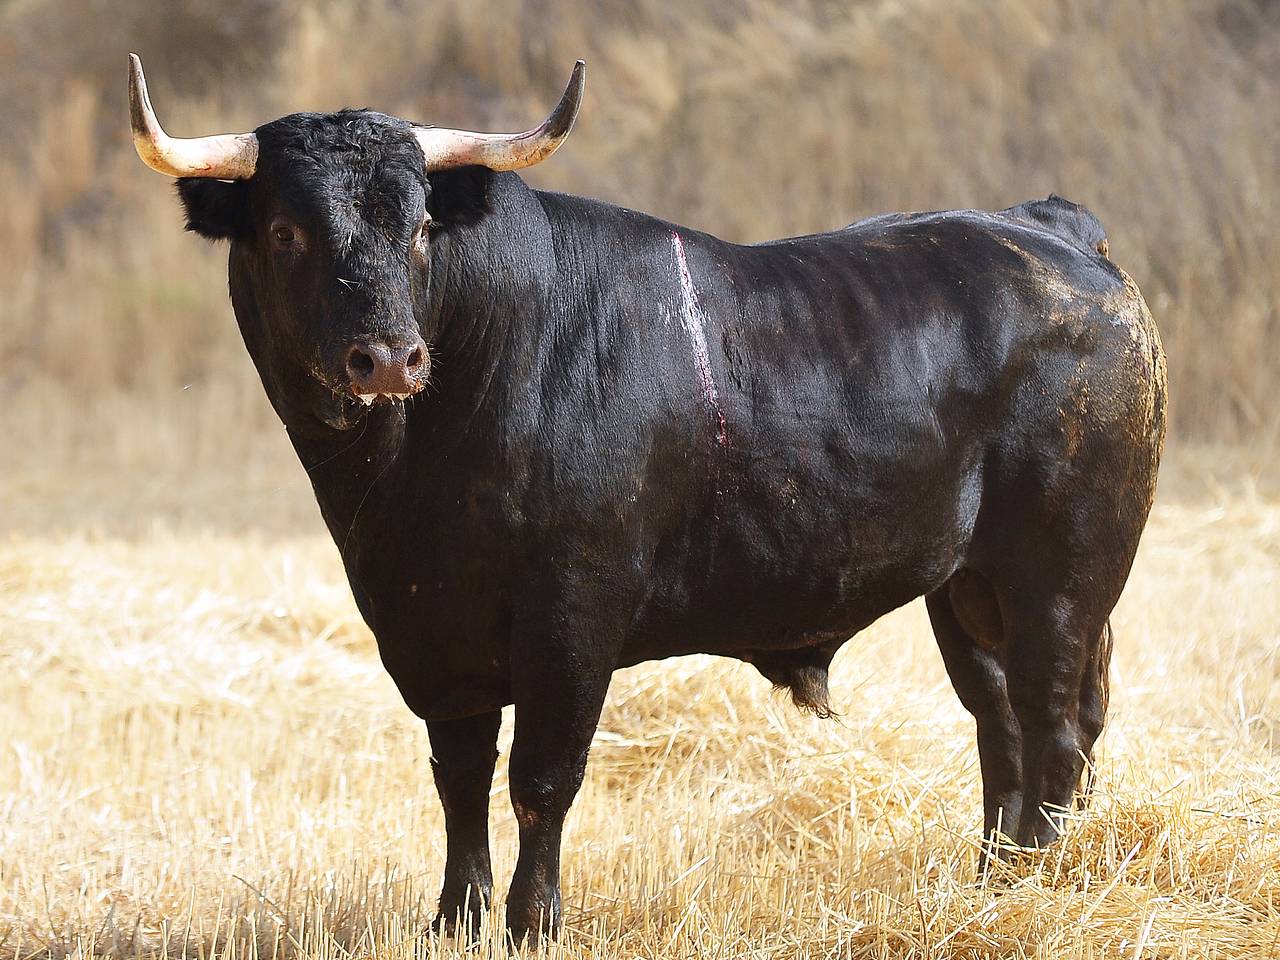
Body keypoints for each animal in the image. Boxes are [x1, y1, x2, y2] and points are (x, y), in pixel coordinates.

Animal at [147, 97, 1162, 942]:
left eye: (420, 225)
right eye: (285, 229)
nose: (388, 357)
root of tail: (1051, 231)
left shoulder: (571, 618)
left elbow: (541, 781)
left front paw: (533, 924)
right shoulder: (430, 635)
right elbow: (459, 783)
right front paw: (453, 921)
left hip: (1063, 580)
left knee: (1055, 728)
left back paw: (1038, 887)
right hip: (968, 593)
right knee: (1002, 726)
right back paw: (994, 882)